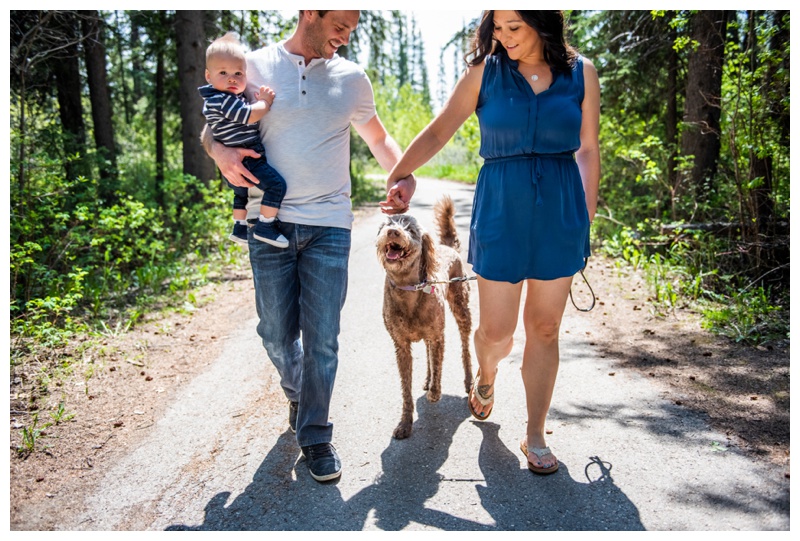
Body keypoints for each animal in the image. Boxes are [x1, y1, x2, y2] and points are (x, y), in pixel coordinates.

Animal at [376, 195, 476, 438]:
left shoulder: (438, 336)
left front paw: (434, 393)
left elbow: (438, 366)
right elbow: (406, 389)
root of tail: (447, 246)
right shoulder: (401, 345)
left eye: (410, 230)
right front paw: (405, 423)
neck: (409, 288)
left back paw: (468, 381)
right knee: (430, 355)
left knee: (465, 349)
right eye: (387, 225)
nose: (393, 232)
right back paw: (427, 379)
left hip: (462, 310)